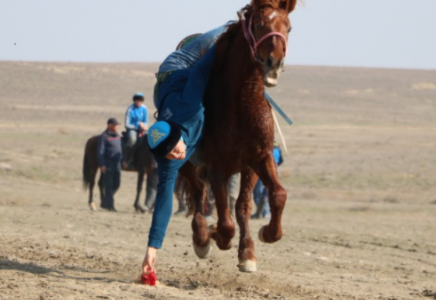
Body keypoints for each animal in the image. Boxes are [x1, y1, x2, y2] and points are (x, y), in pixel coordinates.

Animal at [179, 0, 298, 272]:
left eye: (288, 27)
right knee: (198, 190)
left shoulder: (258, 159)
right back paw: (202, 237)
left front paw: (260, 240)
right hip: (188, 161)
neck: (241, 105)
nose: (274, 63)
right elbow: (225, 221)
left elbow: (272, 197)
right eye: (259, 25)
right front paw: (215, 235)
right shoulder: (216, 164)